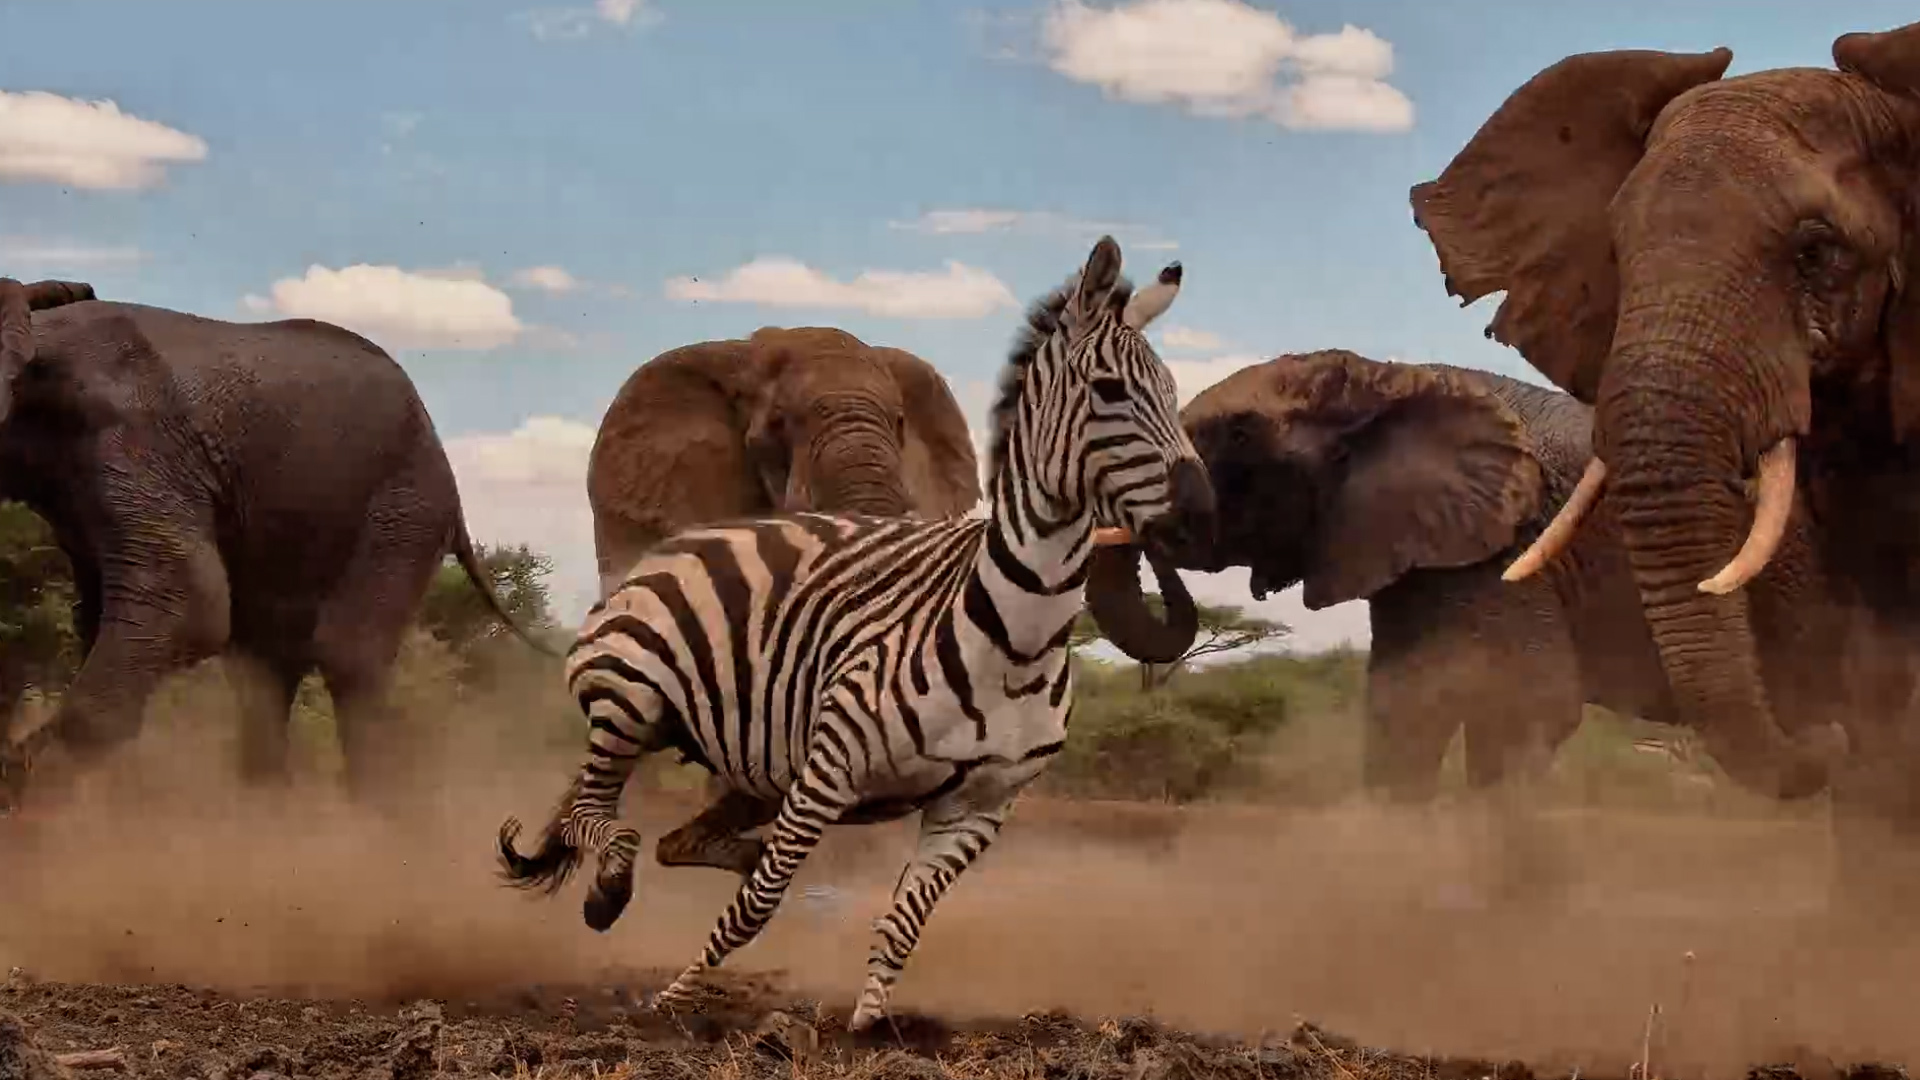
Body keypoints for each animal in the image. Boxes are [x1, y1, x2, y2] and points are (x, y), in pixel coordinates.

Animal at [0, 278, 553, 815]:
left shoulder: (133, 438)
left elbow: (189, 601)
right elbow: (108, 616)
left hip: (403, 508)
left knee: (347, 658)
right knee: (264, 671)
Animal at [496, 234, 1217, 1032]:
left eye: (1175, 392)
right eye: (1110, 391)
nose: (1201, 519)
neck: (1017, 639)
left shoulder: (978, 807)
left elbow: (904, 920)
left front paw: (870, 1025)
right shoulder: (829, 770)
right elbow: (755, 906)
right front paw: (673, 1000)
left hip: (746, 757)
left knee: (676, 839)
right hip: (629, 701)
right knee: (604, 813)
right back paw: (606, 893)